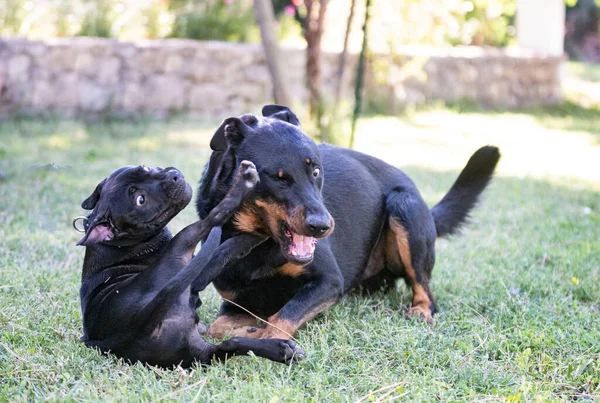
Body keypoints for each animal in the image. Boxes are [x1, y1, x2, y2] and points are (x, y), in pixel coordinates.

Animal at [75, 161, 304, 370]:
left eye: (144, 168)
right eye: (140, 200)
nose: (173, 176)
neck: (120, 244)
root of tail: (137, 325)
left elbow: (224, 251)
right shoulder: (196, 275)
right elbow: (222, 250)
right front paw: (253, 235)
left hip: (201, 353)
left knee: (228, 345)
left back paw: (282, 350)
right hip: (182, 243)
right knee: (213, 218)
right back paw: (243, 183)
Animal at [197, 105, 502, 340]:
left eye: (316, 171)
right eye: (277, 177)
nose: (322, 226)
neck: (257, 243)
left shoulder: (330, 282)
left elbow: (280, 319)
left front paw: (262, 337)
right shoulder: (237, 302)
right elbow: (216, 328)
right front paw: (245, 331)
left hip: (405, 208)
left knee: (426, 291)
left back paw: (420, 311)